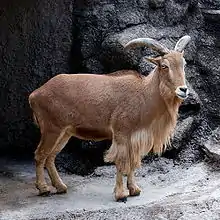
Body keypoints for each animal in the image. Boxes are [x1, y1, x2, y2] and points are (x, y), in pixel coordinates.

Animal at [28, 35, 191, 202]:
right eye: (164, 66)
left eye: (183, 64)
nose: (183, 90)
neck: (143, 93)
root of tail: (35, 94)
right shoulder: (121, 133)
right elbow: (121, 161)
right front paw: (120, 194)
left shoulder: (133, 138)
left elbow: (132, 162)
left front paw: (134, 189)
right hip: (51, 129)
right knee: (40, 155)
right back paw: (43, 188)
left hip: (65, 133)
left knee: (50, 156)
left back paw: (60, 187)